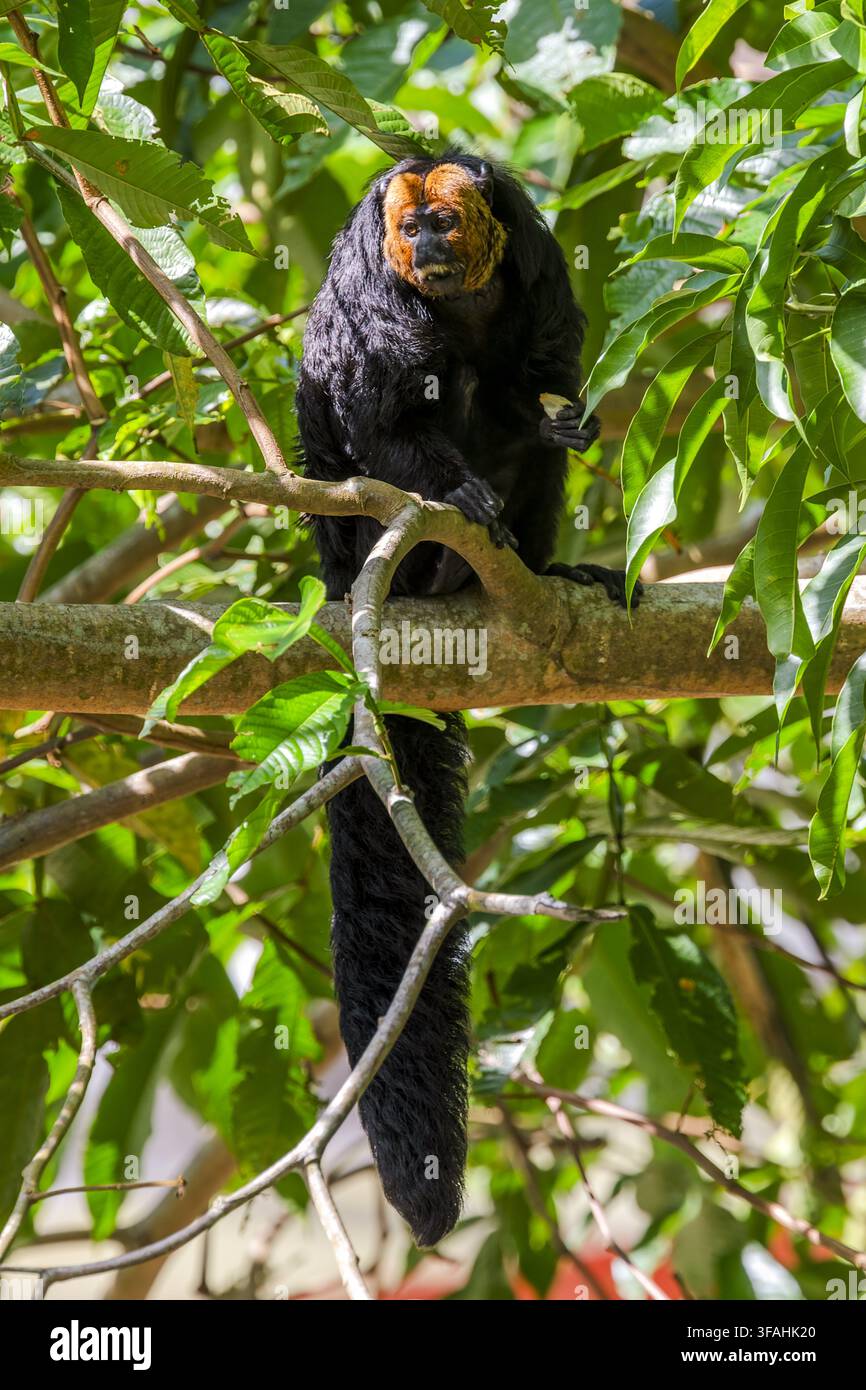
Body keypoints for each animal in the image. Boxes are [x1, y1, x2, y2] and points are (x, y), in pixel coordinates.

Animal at [296, 153, 636, 1247]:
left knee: (521, 434)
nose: (429, 247)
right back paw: (430, 563)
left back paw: (538, 564)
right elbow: (378, 420)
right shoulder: (369, 297)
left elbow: (544, 388)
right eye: (407, 231)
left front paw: (560, 421)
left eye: (446, 222)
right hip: (355, 551)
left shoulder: (539, 261)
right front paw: (453, 489)